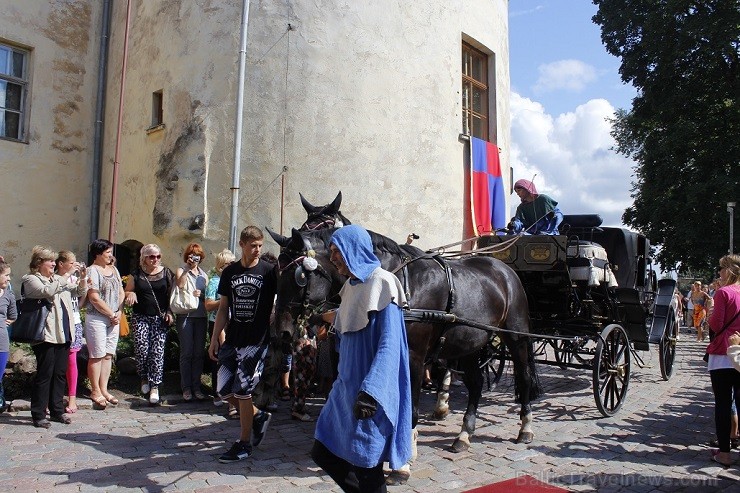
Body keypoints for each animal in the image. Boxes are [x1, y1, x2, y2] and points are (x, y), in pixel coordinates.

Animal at [268, 228, 540, 462]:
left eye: (299, 277)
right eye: (276, 274)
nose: (282, 332)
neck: (392, 282)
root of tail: (504, 269)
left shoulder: (414, 355)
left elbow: (409, 405)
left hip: (516, 337)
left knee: (524, 377)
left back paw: (525, 428)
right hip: (470, 344)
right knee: (475, 384)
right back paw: (464, 435)